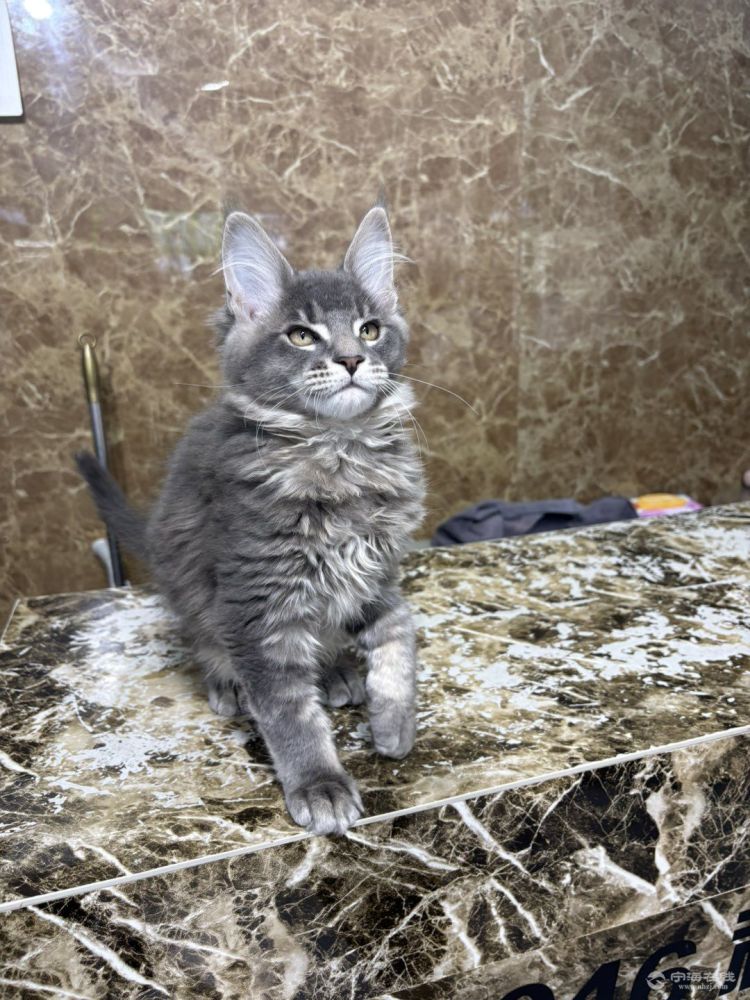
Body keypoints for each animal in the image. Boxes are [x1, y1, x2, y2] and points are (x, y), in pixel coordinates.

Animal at [75, 205, 426, 836]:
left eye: (370, 329)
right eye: (300, 335)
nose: (352, 359)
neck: (339, 454)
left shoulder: (373, 574)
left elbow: (399, 631)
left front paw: (394, 722)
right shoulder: (256, 601)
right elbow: (288, 711)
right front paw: (319, 785)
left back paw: (336, 672)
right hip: (189, 586)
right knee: (203, 639)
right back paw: (229, 683)